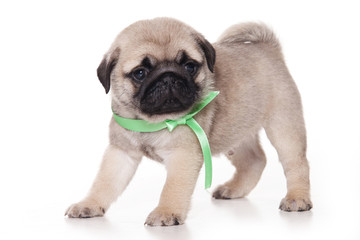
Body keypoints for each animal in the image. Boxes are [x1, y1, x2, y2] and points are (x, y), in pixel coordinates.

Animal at [65, 18, 312, 225]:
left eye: (189, 66)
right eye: (140, 73)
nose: (168, 77)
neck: (152, 121)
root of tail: (269, 49)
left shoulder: (182, 156)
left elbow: (172, 188)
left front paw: (165, 213)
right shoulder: (121, 153)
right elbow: (104, 183)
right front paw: (89, 205)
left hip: (283, 127)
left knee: (296, 163)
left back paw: (297, 198)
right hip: (235, 132)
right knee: (254, 160)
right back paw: (233, 190)